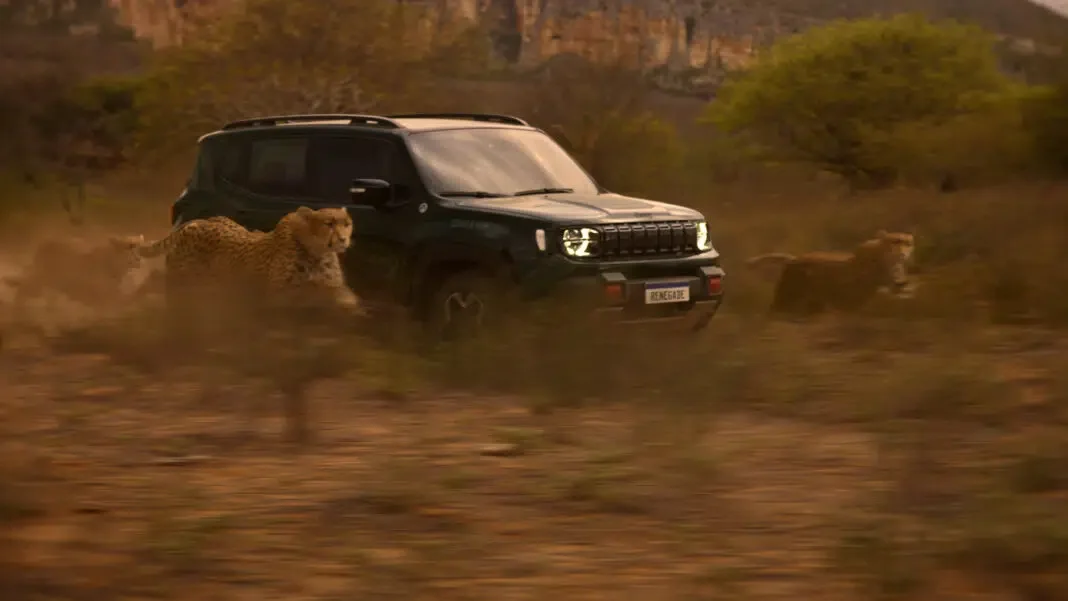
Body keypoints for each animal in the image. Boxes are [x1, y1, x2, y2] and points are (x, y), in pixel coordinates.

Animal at [135, 206, 365, 317]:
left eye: (347, 223)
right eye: (329, 223)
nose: (343, 239)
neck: (315, 250)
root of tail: (197, 222)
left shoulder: (332, 288)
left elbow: (348, 300)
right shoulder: (279, 297)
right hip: (182, 285)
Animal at [745, 230, 916, 315]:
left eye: (907, 243)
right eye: (895, 241)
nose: (902, 254)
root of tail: (795, 259)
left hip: (814, 304)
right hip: (786, 299)